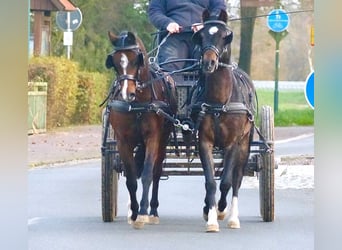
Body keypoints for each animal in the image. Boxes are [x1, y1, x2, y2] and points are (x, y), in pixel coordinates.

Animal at [105, 30, 178, 229]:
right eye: (115, 62)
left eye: (135, 60)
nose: (126, 94)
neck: (138, 103)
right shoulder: (123, 141)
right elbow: (131, 179)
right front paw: (134, 213)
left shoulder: (153, 138)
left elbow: (146, 174)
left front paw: (144, 212)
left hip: (163, 140)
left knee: (156, 172)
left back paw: (153, 211)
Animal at [192, 9, 256, 232]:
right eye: (201, 36)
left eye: (225, 36)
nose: (209, 63)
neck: (220, 102)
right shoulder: (204, 141)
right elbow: (210, 181)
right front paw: (211, 218)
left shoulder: (233, 144)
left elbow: (226, 182)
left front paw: (220, 210)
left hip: (245, 145)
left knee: (236, 180)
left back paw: (233, 217)